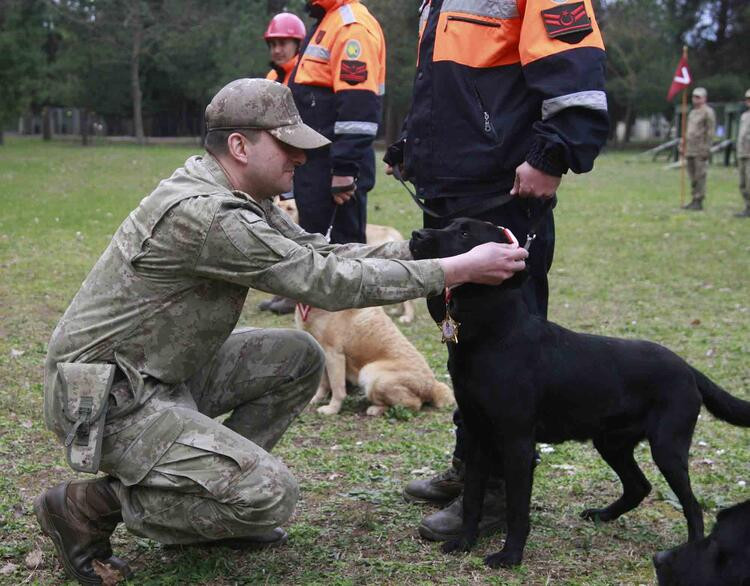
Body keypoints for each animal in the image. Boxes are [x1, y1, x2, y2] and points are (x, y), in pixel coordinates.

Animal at [296, 304, 456, 412]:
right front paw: (316, 399)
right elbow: (323, 383)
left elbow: (337, 388)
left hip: (369, 372)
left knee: (415, 404)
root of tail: (432, 386)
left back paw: (376, 409)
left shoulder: (334, 354)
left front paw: (332, 409)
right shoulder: (321, 351)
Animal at [412, 216, 750, 564]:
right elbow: (471, 500)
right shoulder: (478, 436)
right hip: (611, 442)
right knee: (639, 486)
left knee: (692, 506)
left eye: (465, 232)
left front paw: (510, 556)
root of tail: (688, 368)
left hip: (667, 446)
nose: (416, 234)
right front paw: (464, 542)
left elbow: (517, 509)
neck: (495, 331)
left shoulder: (517, 442)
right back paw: (603, 515)